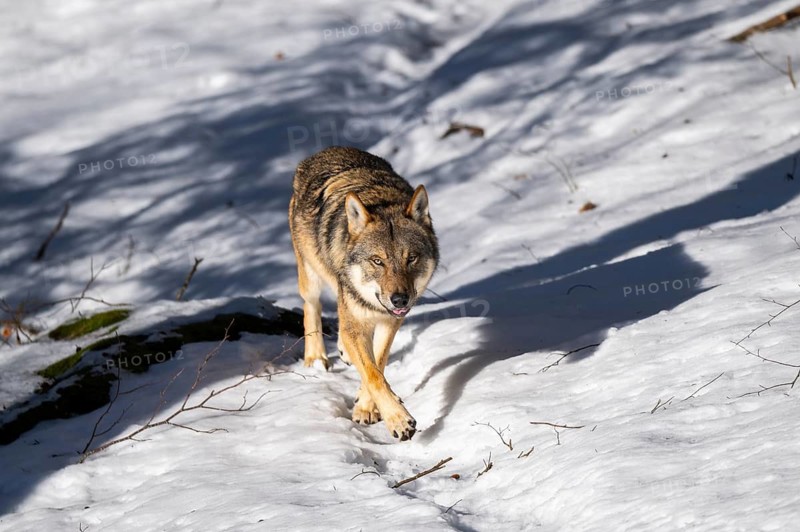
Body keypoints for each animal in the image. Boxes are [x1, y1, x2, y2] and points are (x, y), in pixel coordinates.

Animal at [289, 146, 439, 441]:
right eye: (377, 261)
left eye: (411, 258)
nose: (400, 299)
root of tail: (327, 150)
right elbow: (372, 374)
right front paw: (398, 420)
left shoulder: (390, 320)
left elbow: (377, 364)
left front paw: (366, 407)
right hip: (310, 277)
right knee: (312, 307)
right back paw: (316, 358)